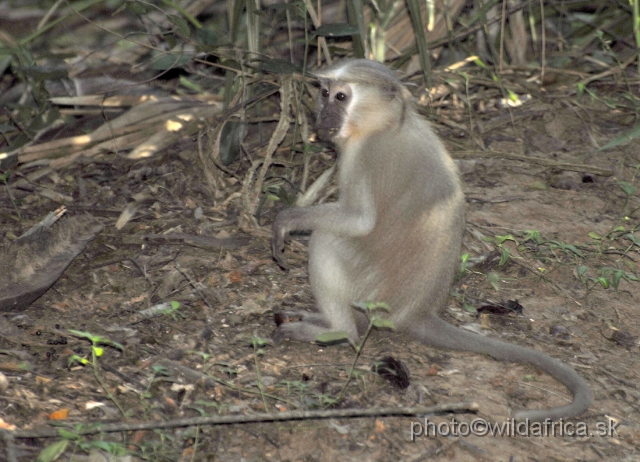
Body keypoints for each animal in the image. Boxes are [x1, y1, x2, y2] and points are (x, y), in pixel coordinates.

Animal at [268, 58, 592, 422]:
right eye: (325, 93)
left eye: (341, 96)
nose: (323, 114)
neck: (387, 125)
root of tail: (418, 312)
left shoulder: (366, 155)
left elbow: (359, 220)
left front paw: (286, 220)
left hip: (373, 293)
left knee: (326, 239)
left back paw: (338, 330)